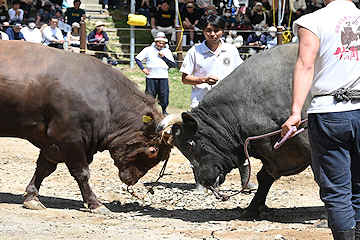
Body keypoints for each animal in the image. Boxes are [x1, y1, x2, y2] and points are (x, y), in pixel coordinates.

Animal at [0, 40, 173, 212]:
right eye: (152, 150)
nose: (131, 180)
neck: (104, 98)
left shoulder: (51, 144)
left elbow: (44, 168)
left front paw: (31, 197)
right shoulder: (67, 138)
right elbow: (82, 172)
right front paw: (95, 203)